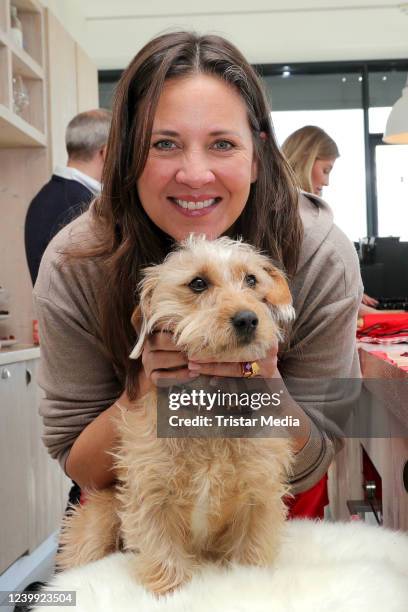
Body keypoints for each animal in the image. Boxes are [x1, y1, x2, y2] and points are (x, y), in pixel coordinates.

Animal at [56, 237, 294, 596]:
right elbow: (160, 546)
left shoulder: (259, 492)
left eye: (252, 279)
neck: (209, 409)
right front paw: (170, 590)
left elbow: (250, 550)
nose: (248, 319)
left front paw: (248, 582)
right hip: (98, 520)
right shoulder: (150, 491)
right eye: (198, 283)